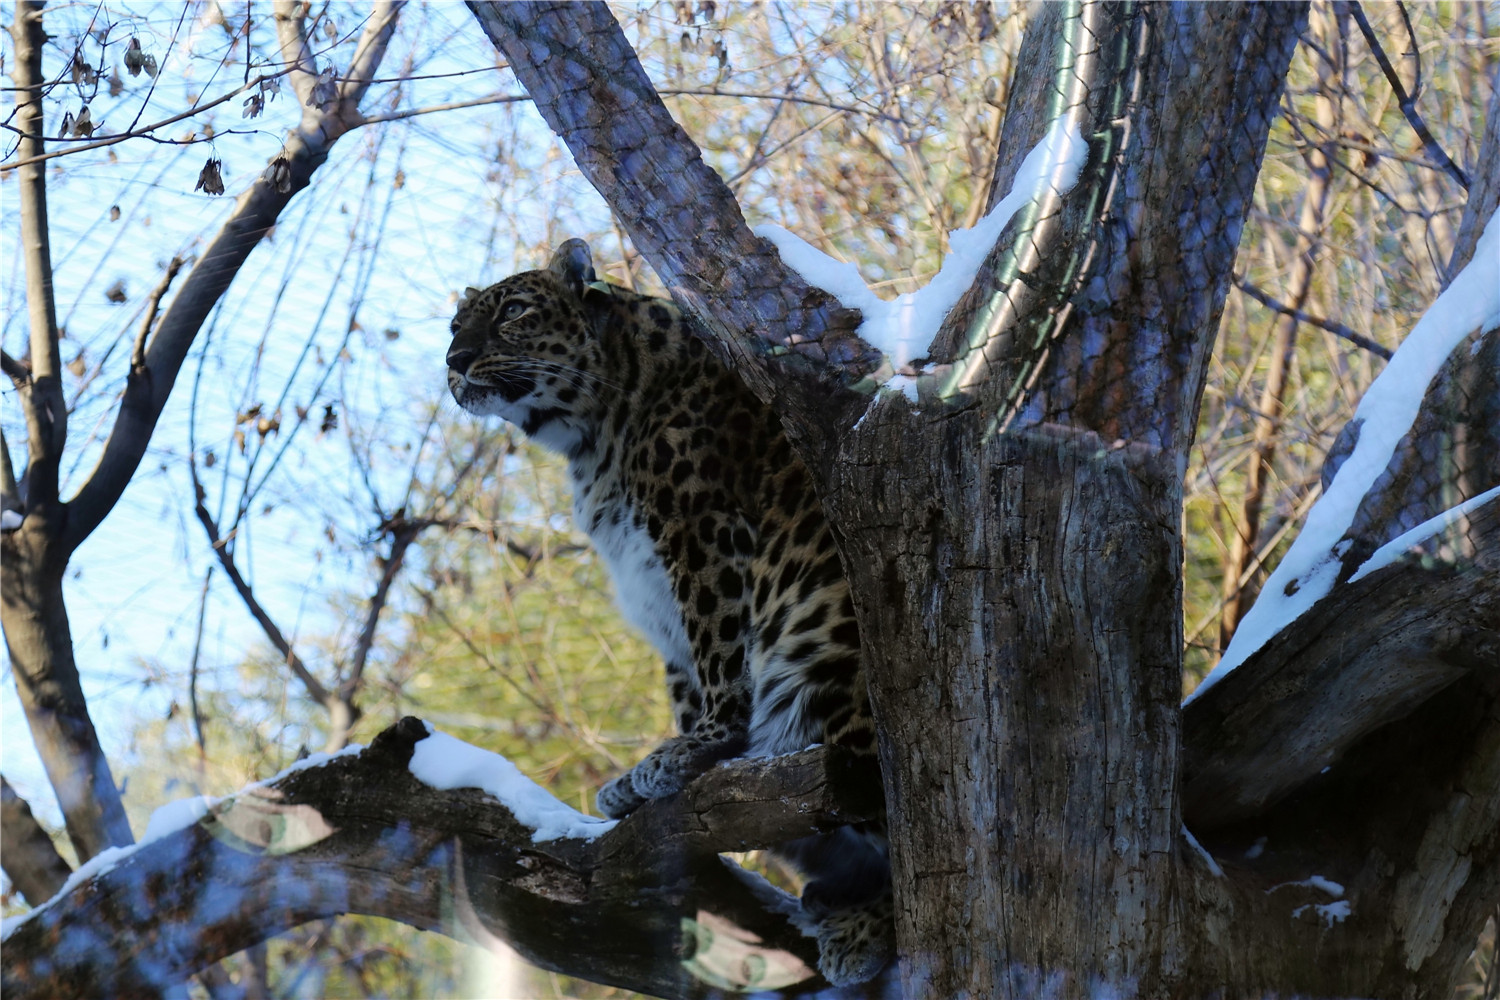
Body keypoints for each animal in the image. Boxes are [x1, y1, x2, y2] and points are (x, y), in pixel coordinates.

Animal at [446, 239, 891, 987]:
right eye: (456, 325)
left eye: (513, 313)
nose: (454, 359)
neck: (592, 429)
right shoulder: (656, 588)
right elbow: (687, 675)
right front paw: (660, 780)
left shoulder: (702, 531)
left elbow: (719, 655)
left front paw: (700, 748)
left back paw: (865, 928)